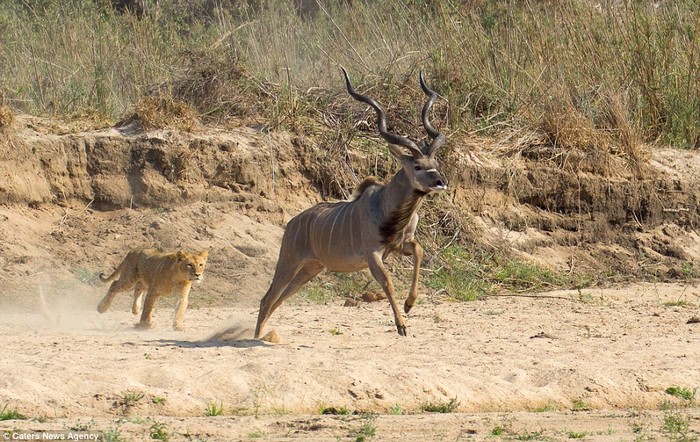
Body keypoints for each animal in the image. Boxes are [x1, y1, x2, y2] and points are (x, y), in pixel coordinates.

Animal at [254, 69, 446, 338]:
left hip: (310, 269)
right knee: (268, 298)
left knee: (279, 298)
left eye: (435, 164)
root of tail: (292, 224)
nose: (440, 182)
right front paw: (401, 324)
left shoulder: (399, 245)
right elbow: (387, 282)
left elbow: (419, 251)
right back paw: (254, 336)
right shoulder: (373, 254)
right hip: (289, 261)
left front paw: (410, 305)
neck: (387, 207)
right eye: (417, 166)